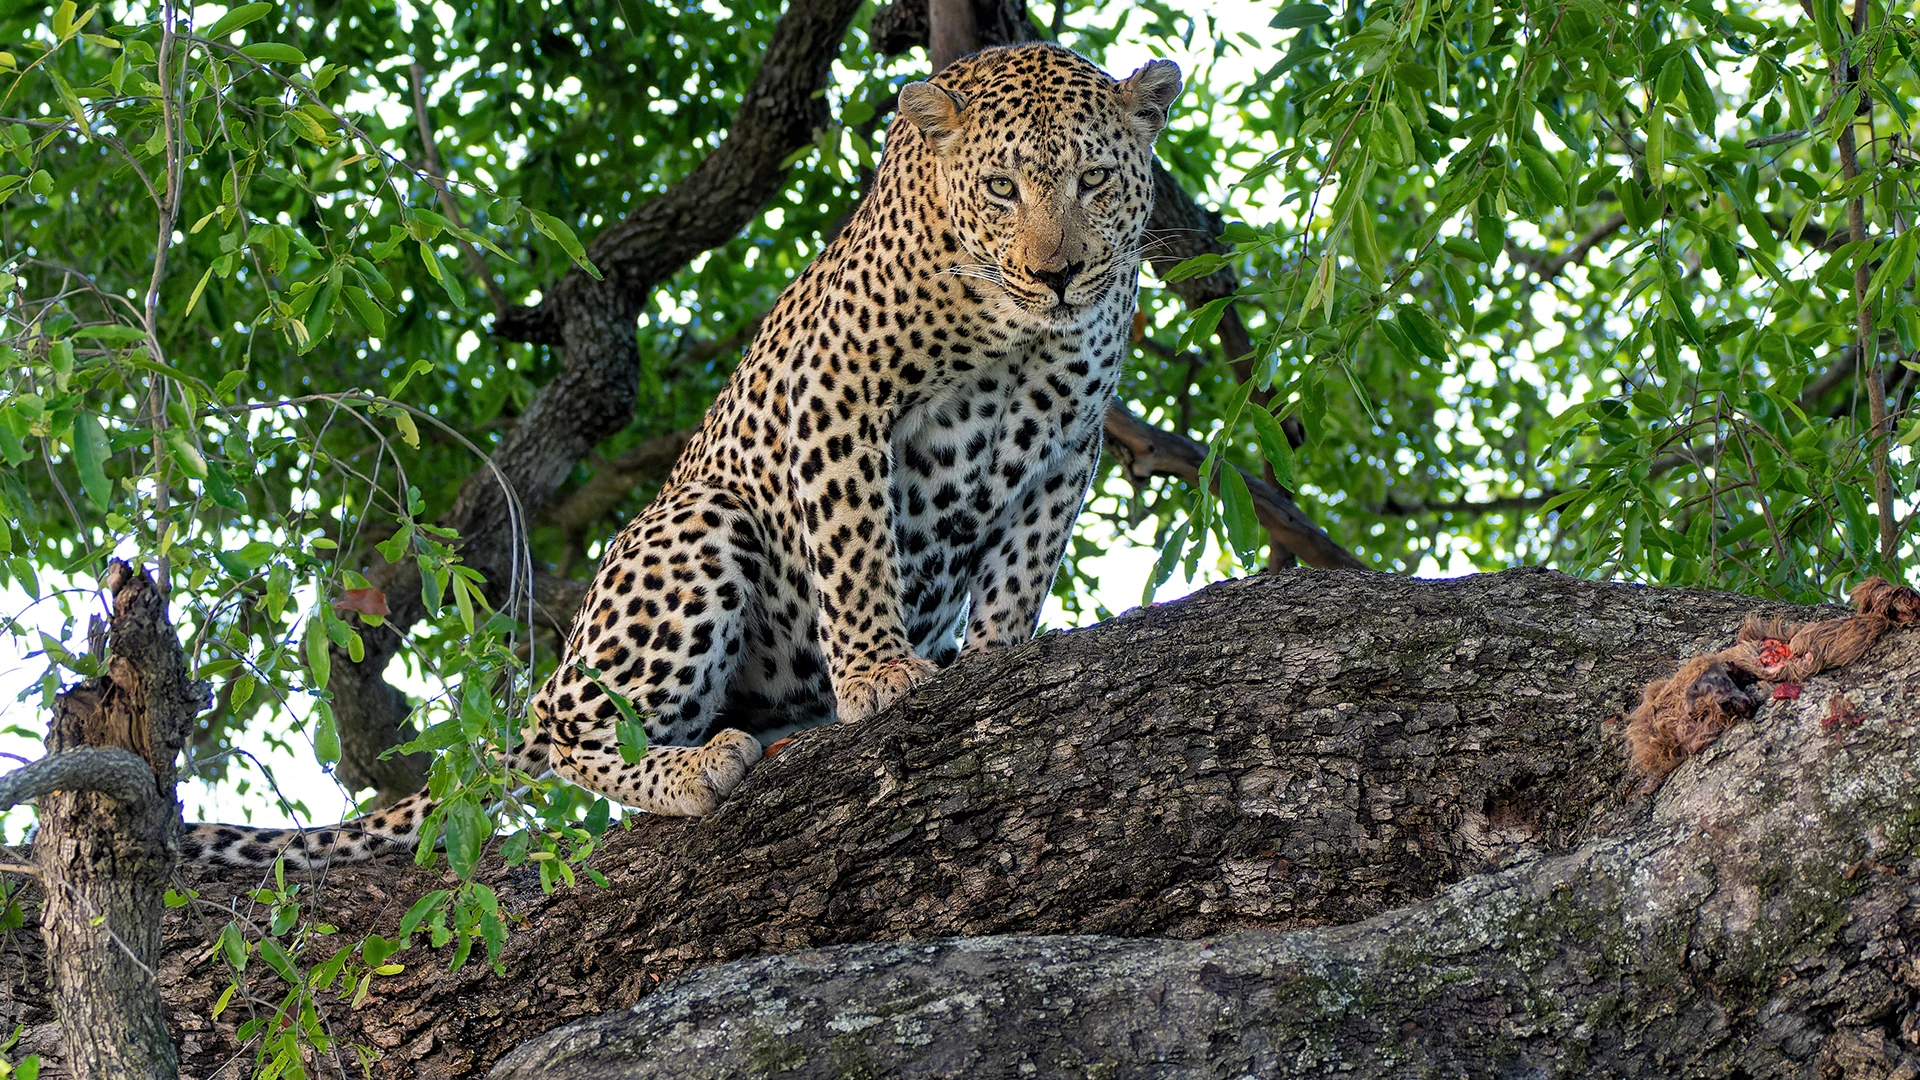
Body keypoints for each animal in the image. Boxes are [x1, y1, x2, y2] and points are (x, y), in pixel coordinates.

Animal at [182, 42, 1183, 868]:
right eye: (1002, 188)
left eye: (1094, 179)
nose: (1058, 274)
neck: (1013, 330)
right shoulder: (837, 393)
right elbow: (856, 550)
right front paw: (878, 674)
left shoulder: (1069, 445)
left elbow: (1020, 573)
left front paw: (993, 660)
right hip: (697, 526)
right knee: (576, 735)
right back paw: (694, 768)